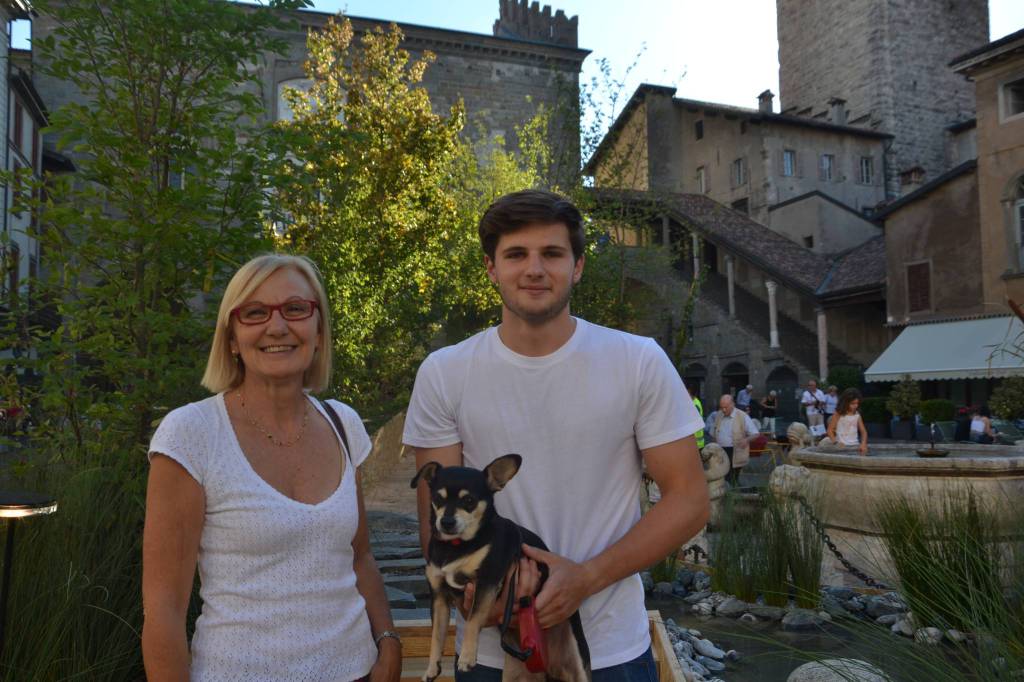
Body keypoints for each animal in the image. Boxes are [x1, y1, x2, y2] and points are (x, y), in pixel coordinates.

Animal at [409, 454, 593, 679]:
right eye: (438, 498)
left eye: (469, 501)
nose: (447, 522)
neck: (457, 546)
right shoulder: (439, 597)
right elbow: (436, 635)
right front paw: (432, 668)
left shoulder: (486, 582)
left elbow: (473, 620)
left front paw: (467, 657)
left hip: (577, 663)